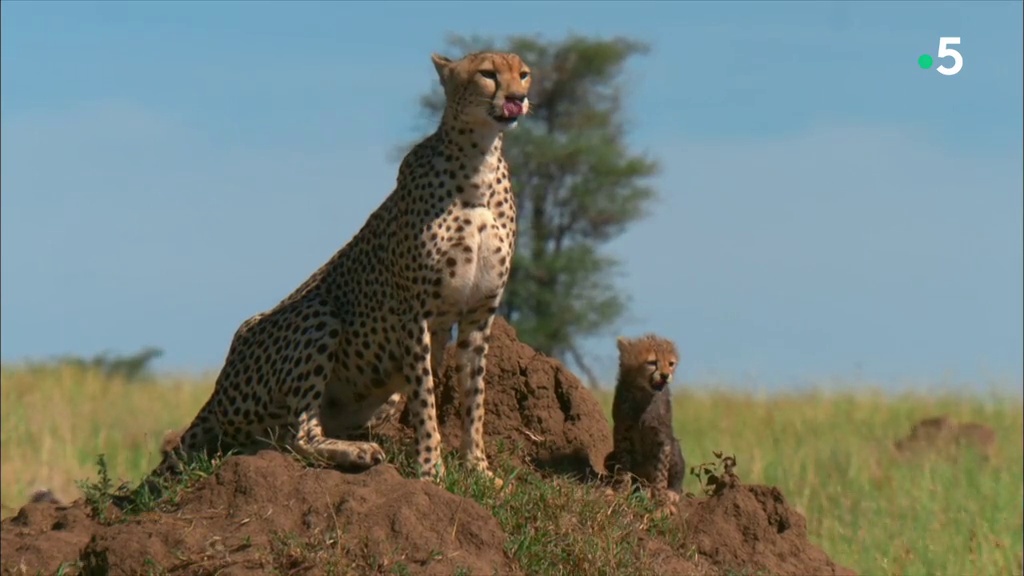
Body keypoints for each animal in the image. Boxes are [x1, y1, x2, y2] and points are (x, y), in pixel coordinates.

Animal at [152, 50, 536, 479]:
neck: (477, 165)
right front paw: (430, 469)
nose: (518, 99)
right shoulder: (413, 314)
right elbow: (425, 399)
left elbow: (474, 397)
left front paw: (479, 468)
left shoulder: (478, 315)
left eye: (523, 74)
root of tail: (217, 391)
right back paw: (359, 453)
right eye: (488, 74)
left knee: (273, 441)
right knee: (298, 435)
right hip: (317, 315)